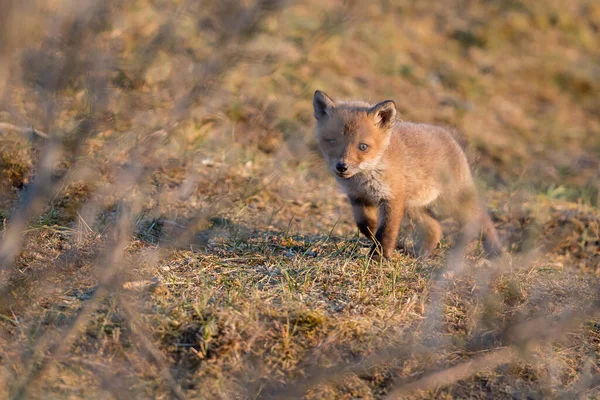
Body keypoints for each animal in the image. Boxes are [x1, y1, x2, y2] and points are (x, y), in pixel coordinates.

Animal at [312, 90, 504, 260]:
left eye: (362, 147)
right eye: (333, 141)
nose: (341, 167)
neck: (365, 176)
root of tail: (449, 135)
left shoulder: (393, 198)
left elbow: (386, 231)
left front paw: (379, 257)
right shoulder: (358, 197)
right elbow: (366, 226)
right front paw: (380, 240)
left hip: (452, 204)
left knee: (482, 220)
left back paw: (496, 252)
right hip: (414, 207)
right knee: (435, 228)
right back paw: (421, 254)